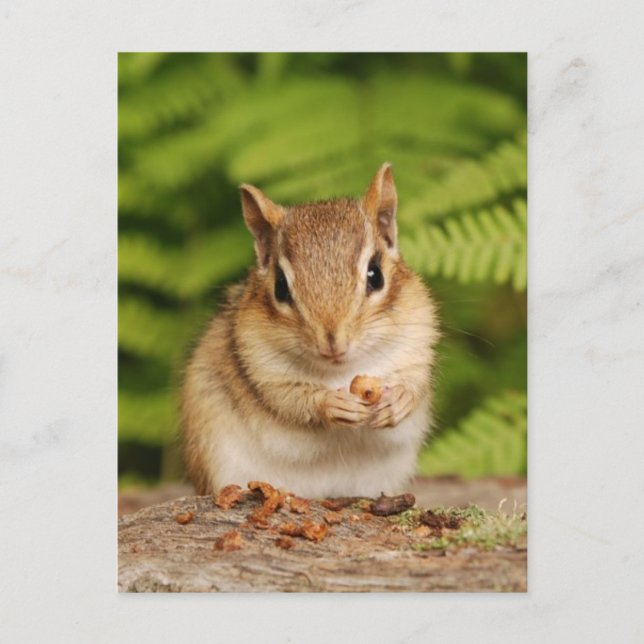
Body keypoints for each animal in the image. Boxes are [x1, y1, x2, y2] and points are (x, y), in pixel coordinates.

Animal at [181, 163, 439, 498]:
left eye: (375, 275)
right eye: (280, 287)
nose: (333, 343)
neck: (342, 371)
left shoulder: (417, 345)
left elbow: (415, 381)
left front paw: (399, 400)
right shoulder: (262, 368)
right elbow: (290, 399)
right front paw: (331, 404)